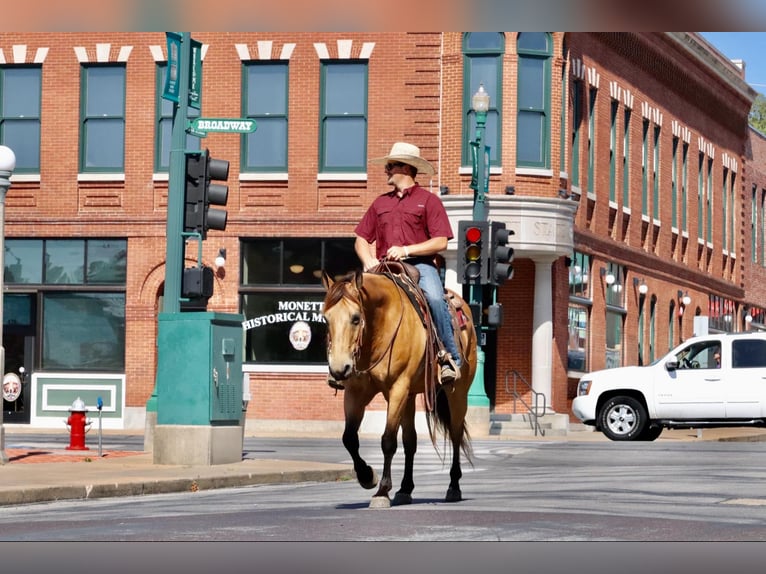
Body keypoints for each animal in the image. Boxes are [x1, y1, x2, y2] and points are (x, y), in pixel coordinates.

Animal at [320, 264, 476, 510]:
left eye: (355, 318)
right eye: (326, 319)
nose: (338, 369)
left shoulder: (397, 389)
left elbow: (388, 440)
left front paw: (382, 491)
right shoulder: (356, 392)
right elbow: (349, 438)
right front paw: (367, 477)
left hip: (457, 393)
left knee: (455, 435)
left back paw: (454, 487)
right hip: (410, 397)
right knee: (410, 441)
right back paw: (405, 489)